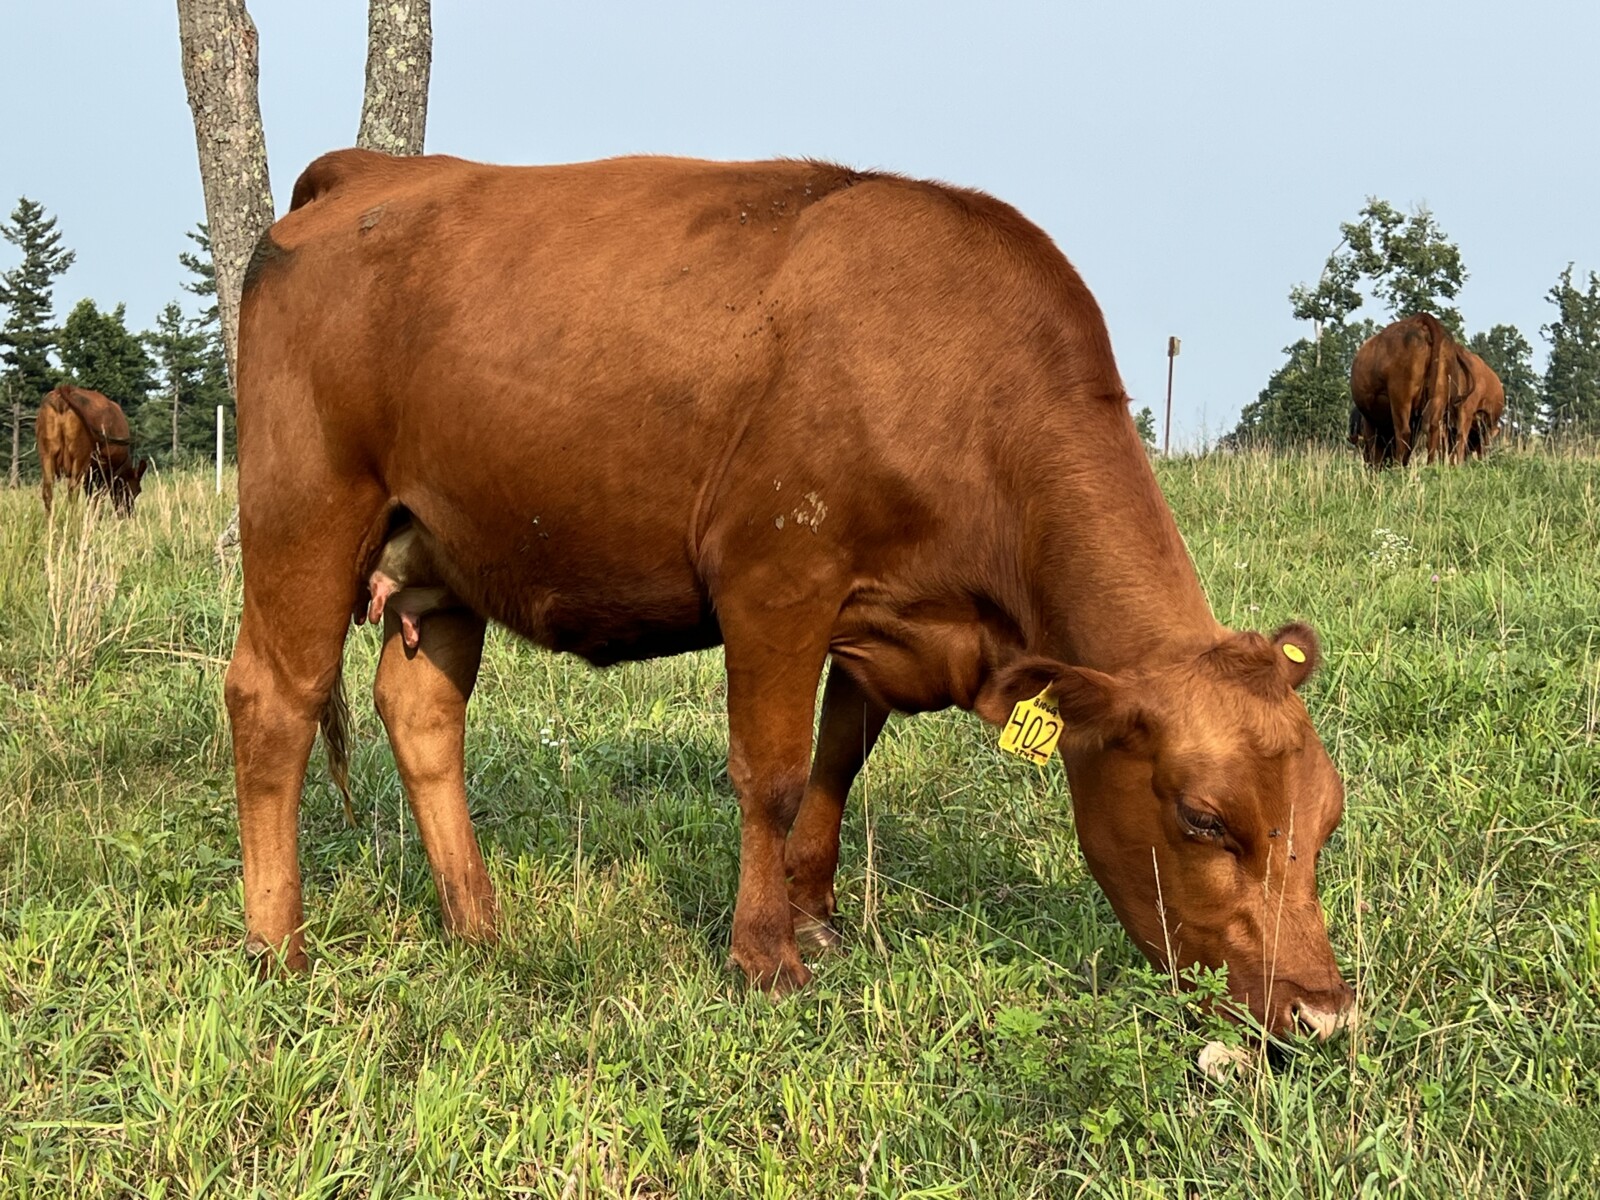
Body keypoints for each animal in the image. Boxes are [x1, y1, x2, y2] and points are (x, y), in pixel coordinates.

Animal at [35, 385, 148, 513]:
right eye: (137, 490)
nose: (129, 513)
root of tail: (65, 389)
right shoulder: (103, 471)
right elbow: (98, 497)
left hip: (47, 455)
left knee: (48, 490)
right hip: (79, 458)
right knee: (73, 490)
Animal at [227, 149, 1355, 1038]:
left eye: (1329, 820)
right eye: (1202, 820)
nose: (1324, 1014)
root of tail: (371, 171)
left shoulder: (878, 620)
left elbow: (836, 765)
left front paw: (816, 914)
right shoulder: (773, 581)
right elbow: (768, 774)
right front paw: (765, 957)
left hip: (445, 552)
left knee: (422, 715)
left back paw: (478, 927)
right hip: (306, 506)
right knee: (273, 703)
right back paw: (278, 949)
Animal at [1349, 313, 1458, 466]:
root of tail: (1421, 320)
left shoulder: (1370, 422)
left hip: (1400, 400)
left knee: (1403, 433)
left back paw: (1397, 467)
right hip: (1439, 398)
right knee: (1432, 432)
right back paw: (1429, 466)